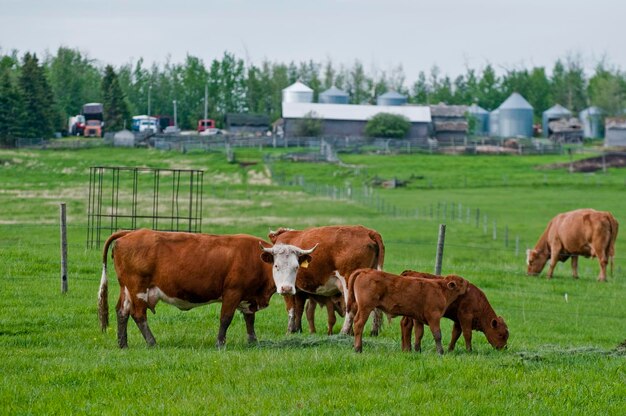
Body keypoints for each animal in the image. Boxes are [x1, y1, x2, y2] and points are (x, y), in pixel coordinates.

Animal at [98, 229, 316, 350]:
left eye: (296, 267)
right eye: (276, 266)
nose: (286, 288)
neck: (255, 259)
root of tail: (130, 232)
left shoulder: (247, 297)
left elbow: (249, 319)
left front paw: (253, 341)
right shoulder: (232, 292)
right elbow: (225, 318)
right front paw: (220, 343)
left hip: (127, 288)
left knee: (122, 312)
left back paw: (123, 344)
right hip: (138, 288)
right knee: (138, 314)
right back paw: (152, 342)